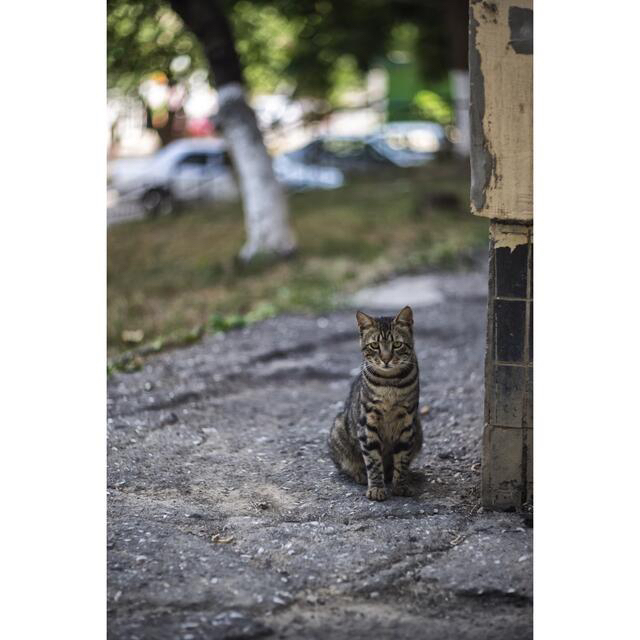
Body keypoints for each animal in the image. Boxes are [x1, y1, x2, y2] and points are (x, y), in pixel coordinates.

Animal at [328, 308, 422, 502]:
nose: (386, 359)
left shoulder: (407, 421)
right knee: (346, 464)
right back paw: (360, 474)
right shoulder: (368, 422)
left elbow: (402, 458)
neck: (389, 383)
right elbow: (373, 461)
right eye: (374, 346)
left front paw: (401, 485)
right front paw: (377, 488)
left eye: (397, 345)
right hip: (339, 429)